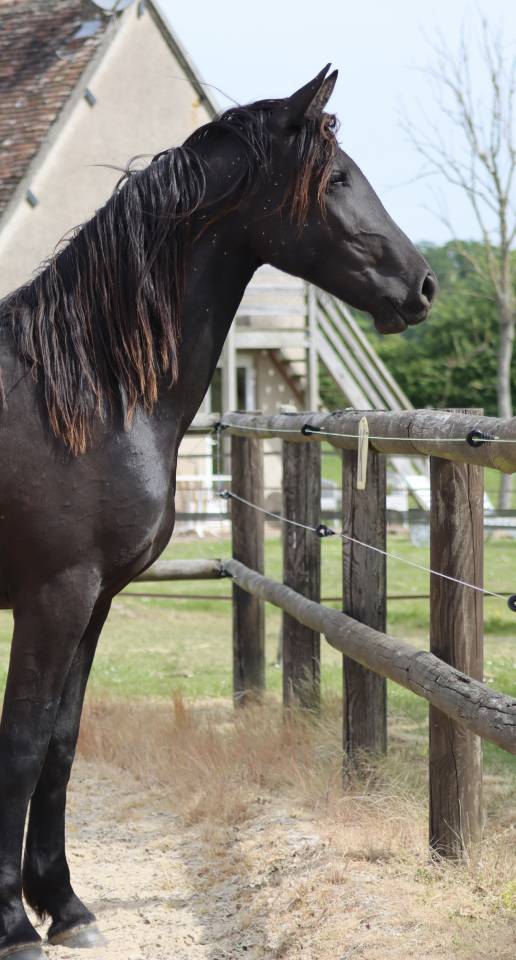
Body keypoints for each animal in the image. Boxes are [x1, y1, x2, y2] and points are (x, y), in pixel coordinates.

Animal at [0, 65, 436, 957]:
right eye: (336, 179)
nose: (423, 283)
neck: (81, 393)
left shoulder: (94, 600)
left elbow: (61, 744)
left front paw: (65, 905)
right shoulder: (50, 597)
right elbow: (21, 749)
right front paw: (12, 923)